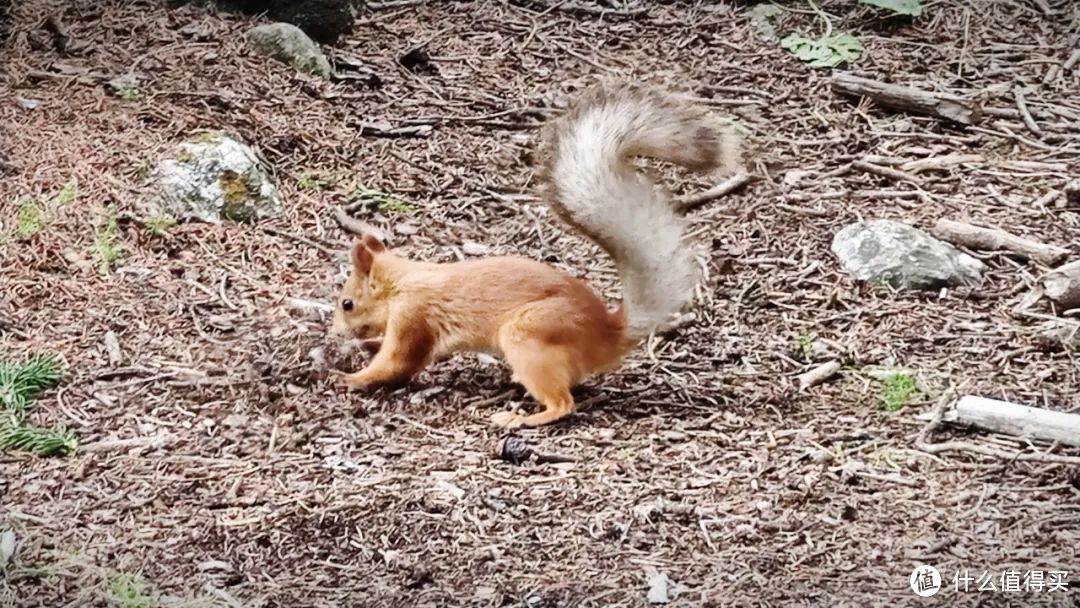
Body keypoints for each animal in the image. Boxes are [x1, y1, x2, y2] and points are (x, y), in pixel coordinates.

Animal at [330, 83, 743, 429]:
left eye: (347, 303)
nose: (336, 331)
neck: (403, 282)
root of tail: (608, 332)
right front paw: (362, 348)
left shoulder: (412, 317)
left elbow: (397, 362)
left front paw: (349, 377)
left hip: (528, 336)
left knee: (563, 404)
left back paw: (521, 419)